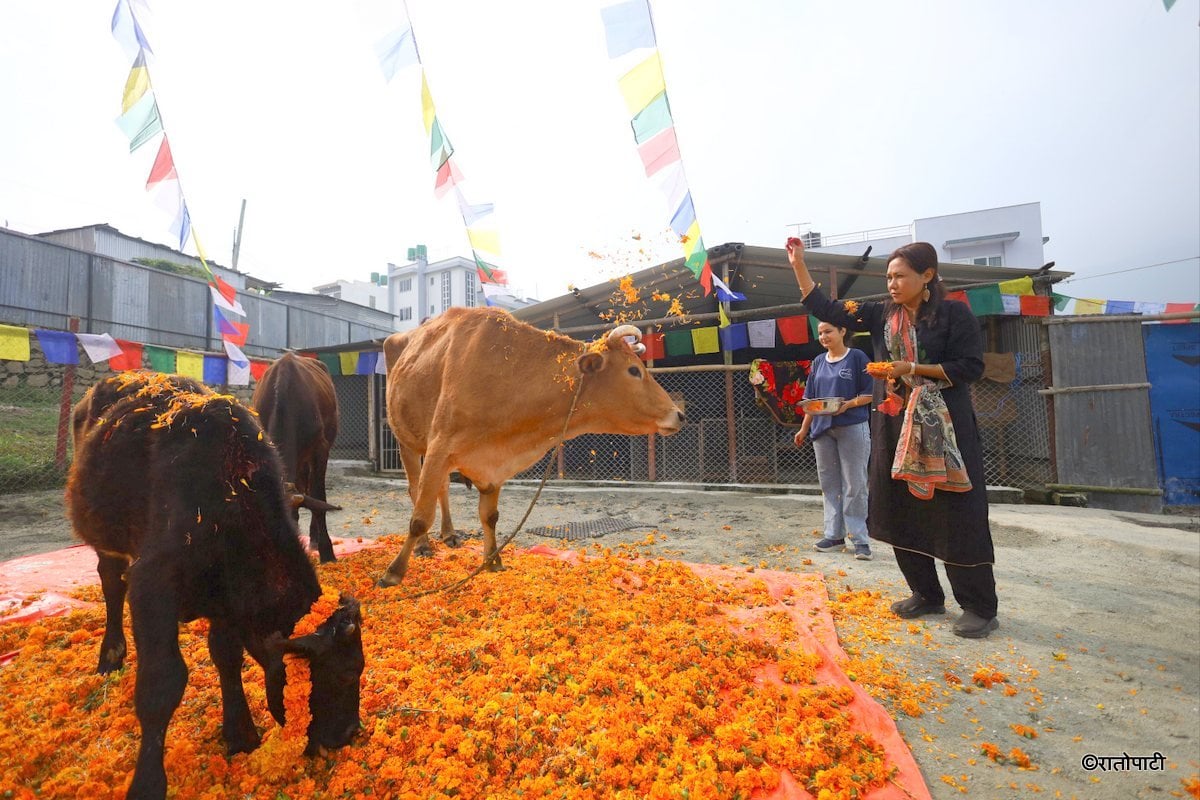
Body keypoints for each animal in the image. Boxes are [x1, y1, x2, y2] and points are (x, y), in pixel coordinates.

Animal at [65, 374, 362, 800]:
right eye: (347, 673)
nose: (350, 733)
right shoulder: (152, 586)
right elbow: (163, 682)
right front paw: (148, 782)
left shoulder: (227, 602)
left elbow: (227, 656)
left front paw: (240, 732)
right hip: (107, 537)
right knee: (110, 583)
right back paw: (110, 655)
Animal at [379, 307, 691, 587]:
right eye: (634, 370)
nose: (679, 414)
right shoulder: (440, 447)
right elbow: (420, 517)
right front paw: (393, 572)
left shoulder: (492, 464)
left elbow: (489, 516)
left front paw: (493, 561)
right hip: (406, 440)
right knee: (416, 490)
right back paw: (424, 545)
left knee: (442, 489)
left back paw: (450, 534)